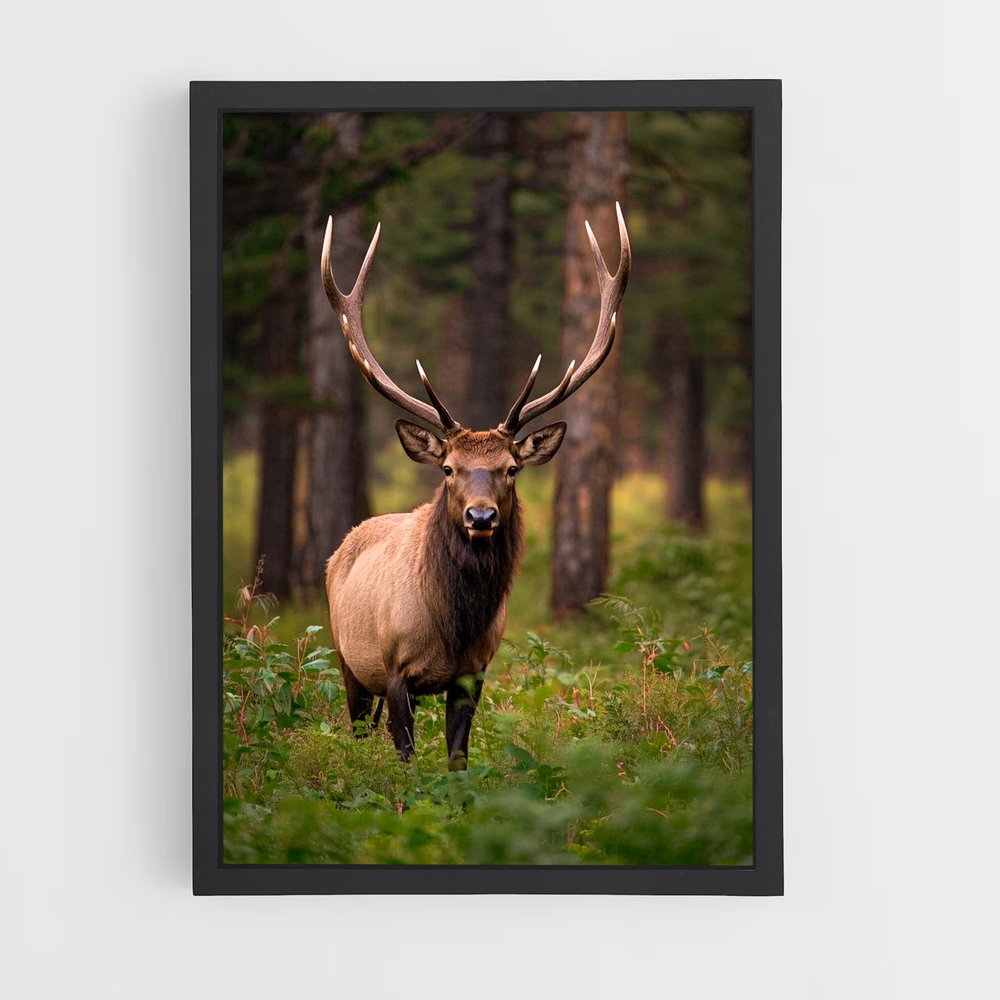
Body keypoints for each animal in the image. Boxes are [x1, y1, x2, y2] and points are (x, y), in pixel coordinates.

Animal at [321, 203, 631, 768]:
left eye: (511, 467)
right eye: (448, 468)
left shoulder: (474, 671)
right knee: (356, 726)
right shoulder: (394, 668)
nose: (481, 516)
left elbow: (457, 760)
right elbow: (406, 759)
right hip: (346, 657)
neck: (454, 625)